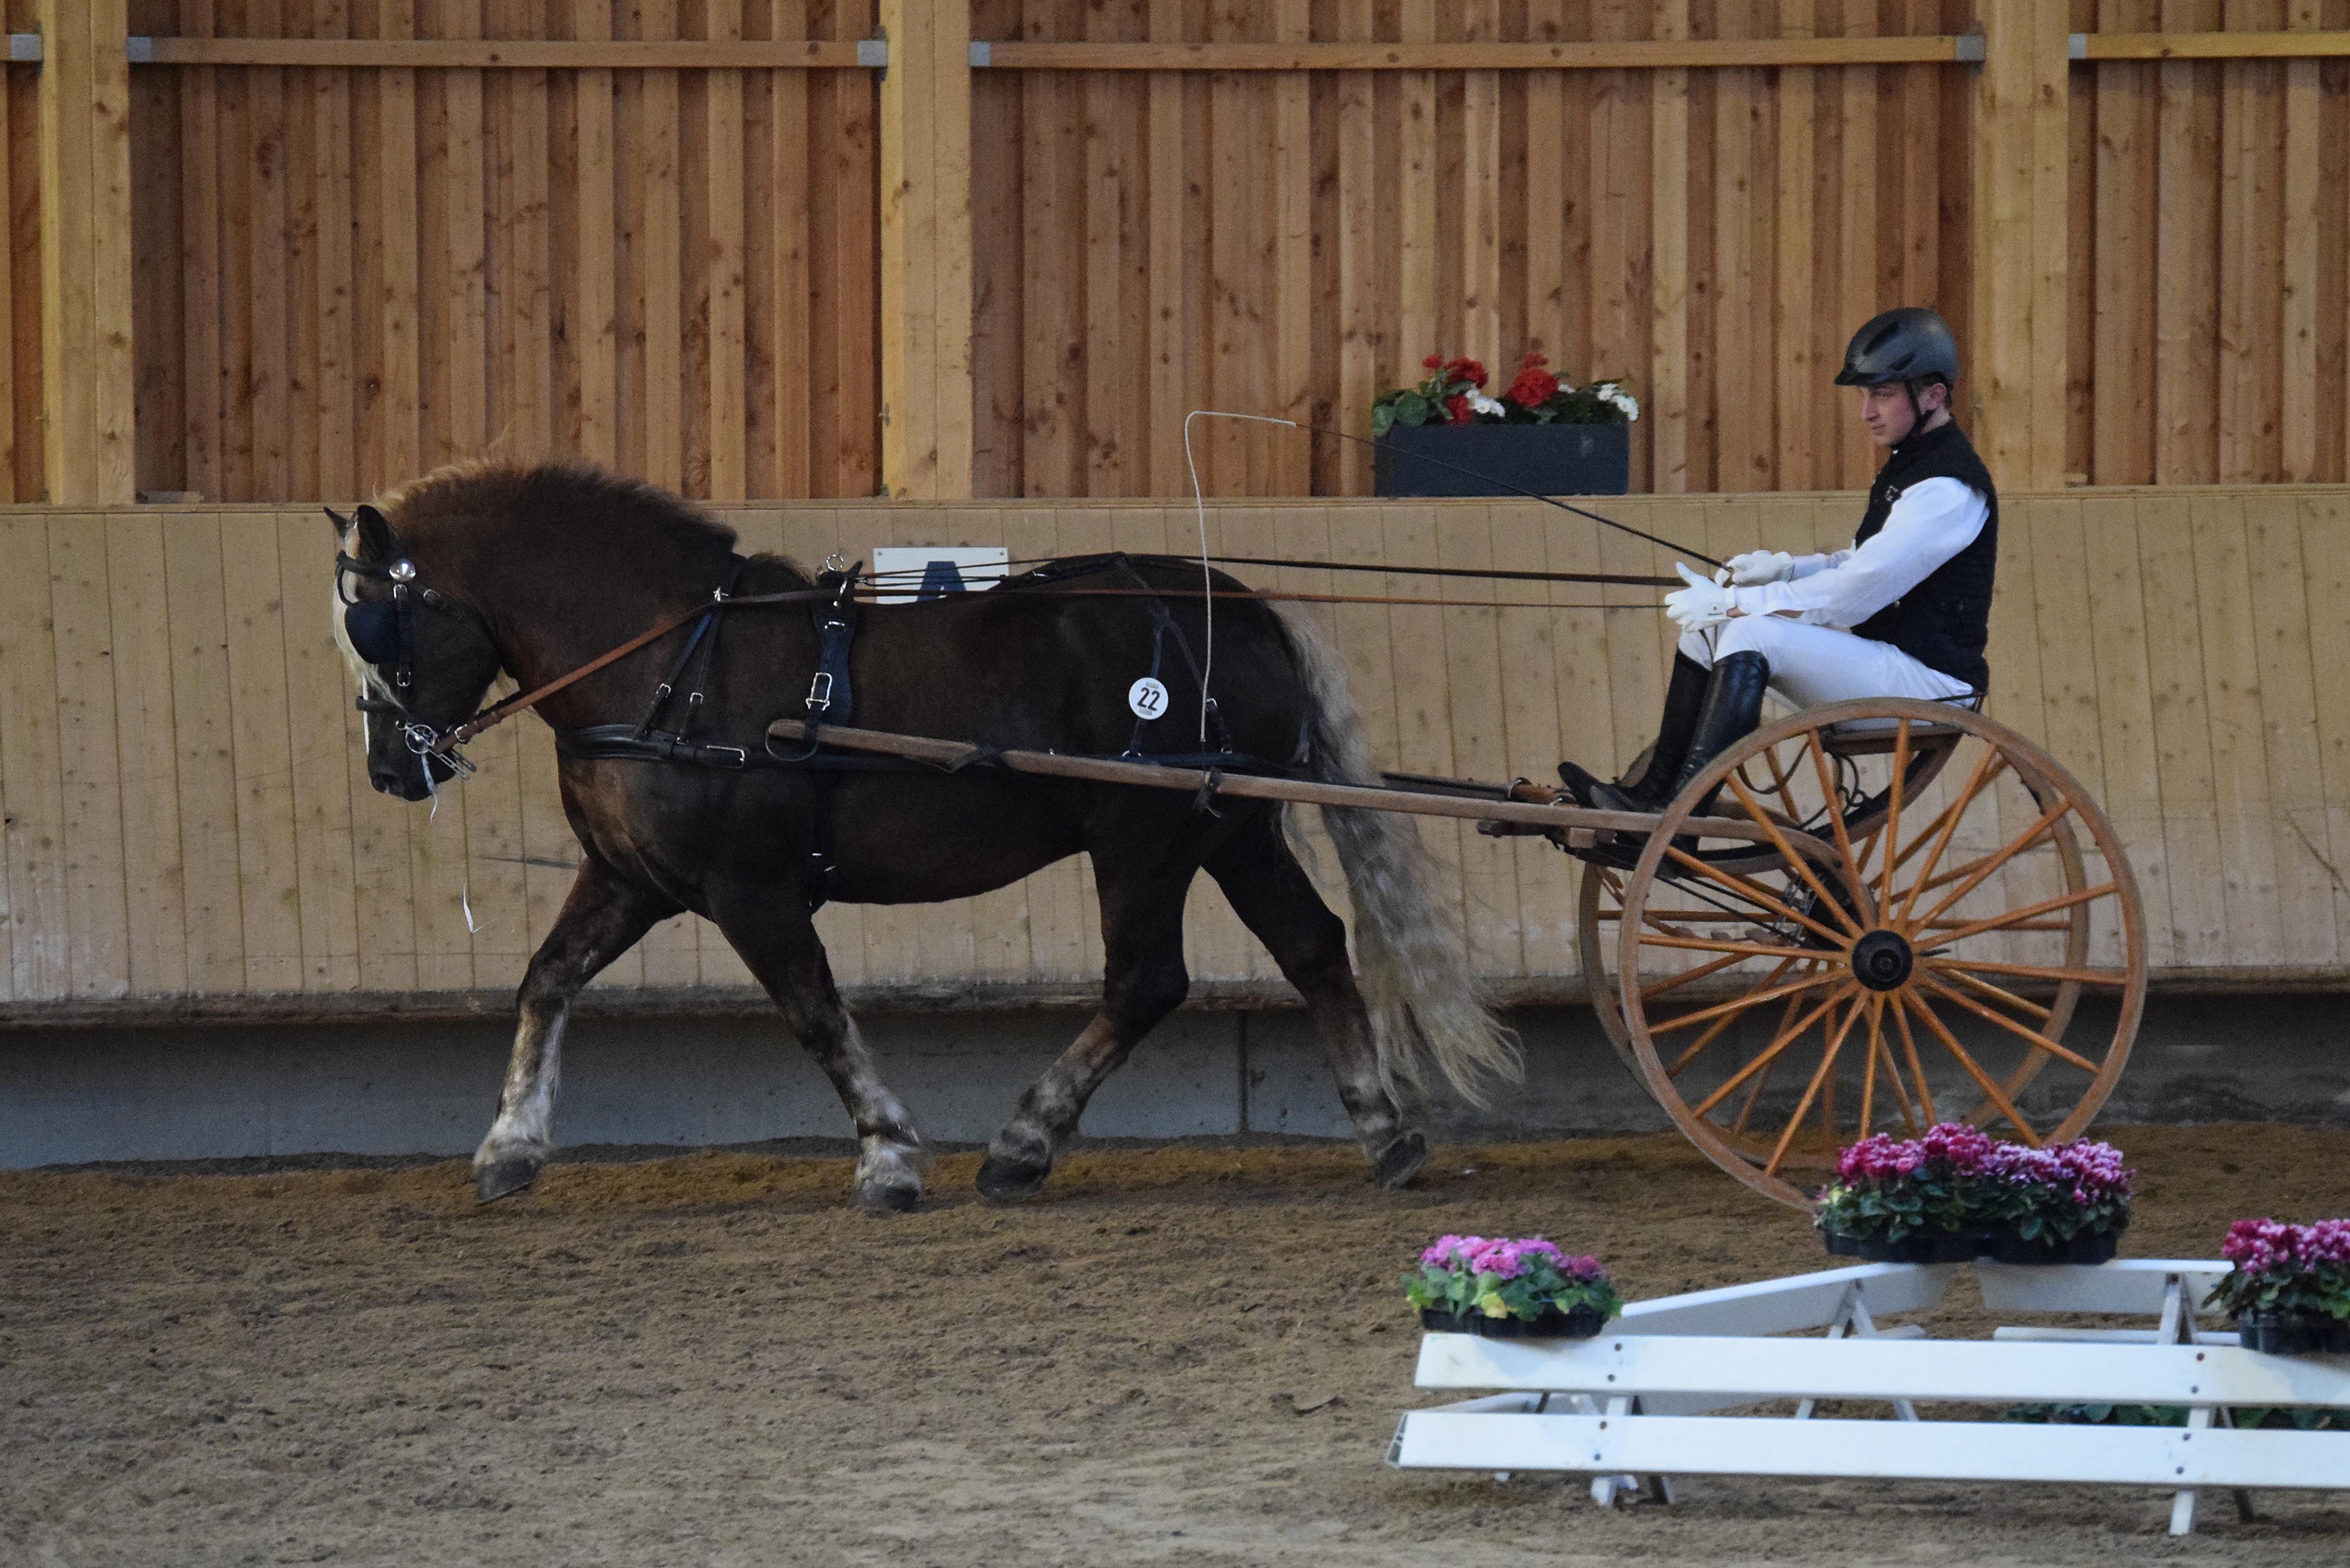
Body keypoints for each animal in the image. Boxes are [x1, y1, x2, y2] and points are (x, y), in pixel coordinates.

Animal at [321, 460, 1513, 1213]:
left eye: (377, 624)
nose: (390, 770)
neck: (668, 660)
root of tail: (1239, 603)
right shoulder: (633, 877)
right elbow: (547, 980)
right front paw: (509, 1148)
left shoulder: (748, 889)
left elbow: (815, 1015)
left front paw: (890, 1159)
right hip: (1230, 827)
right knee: (1312, 947)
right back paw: (1385, 1135)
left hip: (1144, 836)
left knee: (1145, 981)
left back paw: (1023, 1146)